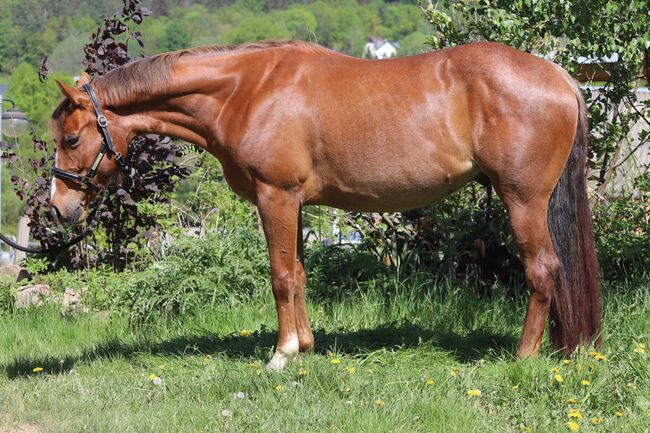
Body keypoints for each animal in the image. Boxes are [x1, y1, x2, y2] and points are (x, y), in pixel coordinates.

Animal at [48, 40, 600, 368]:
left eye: (72, 138)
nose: (57, 209)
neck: (247, 90)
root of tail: (560, 77)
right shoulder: (295, 203)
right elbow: (299, 274)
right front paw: (306, 348)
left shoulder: (275, 197)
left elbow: (280, 276)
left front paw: (281, 355)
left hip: (523, 199)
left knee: (543, 270)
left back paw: (524, 357)